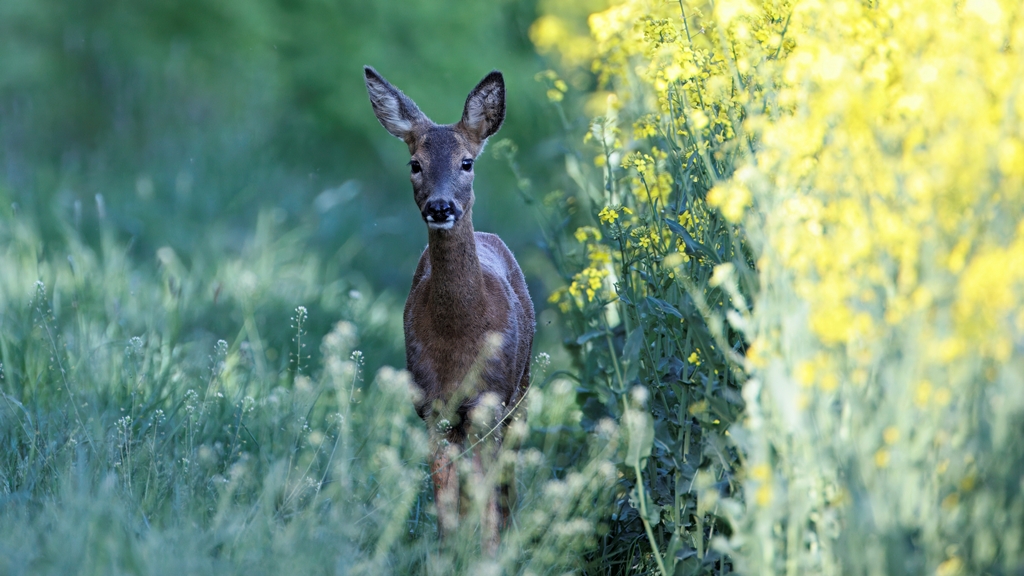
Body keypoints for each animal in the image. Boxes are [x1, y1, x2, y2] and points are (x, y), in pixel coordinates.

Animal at [363, 66, 535, 548]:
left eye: (467, 162)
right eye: (415, 164)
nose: (441, 207)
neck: (459, 336)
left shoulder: (489, 401)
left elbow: (486, 495)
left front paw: (490, 553)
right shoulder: (431, 406)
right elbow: (445, 501)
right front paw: (448, 552)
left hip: (521, 392)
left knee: (504, 480)